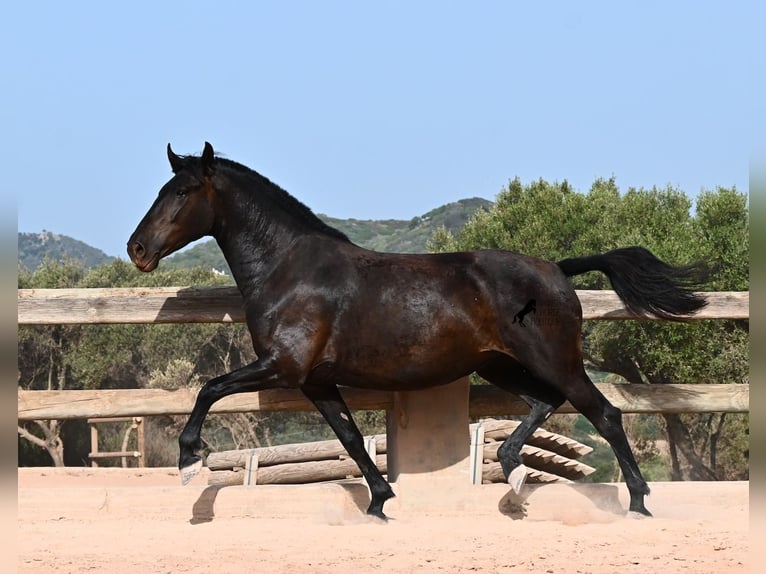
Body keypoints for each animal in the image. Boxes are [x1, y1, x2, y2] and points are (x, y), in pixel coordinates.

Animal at [127, 142, 707, 519]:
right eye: (161, 188)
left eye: (182, 192)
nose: (137, 249)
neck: (290, 270)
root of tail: (558, 270)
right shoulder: (316, 380)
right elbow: (350, 436)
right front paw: (380, 502)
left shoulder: (283, 367)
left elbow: (208, 388)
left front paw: (188, 460)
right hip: (498, 365)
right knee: (545, 402)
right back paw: (512, 473)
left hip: (554, 361)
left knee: (604, 413)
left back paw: (637, 501)